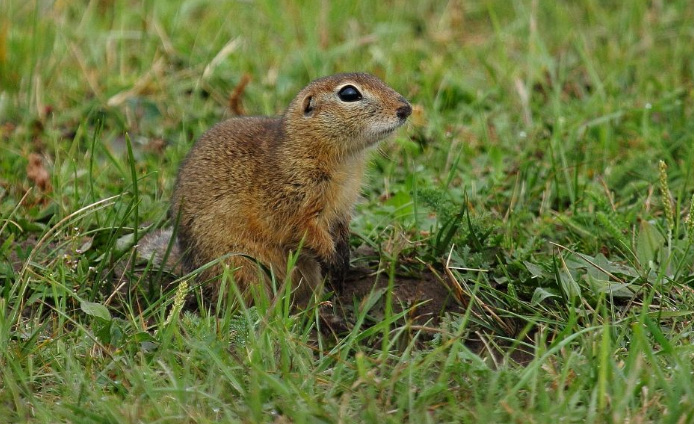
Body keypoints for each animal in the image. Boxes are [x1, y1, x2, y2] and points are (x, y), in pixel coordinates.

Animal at [141, 73, 414, 304]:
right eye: (349, 94)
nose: (406, 109)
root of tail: (190, 268)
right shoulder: (292, 202)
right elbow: (304, 232)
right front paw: (332, 261)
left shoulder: (343, 207)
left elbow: (341, 229)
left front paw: (344, 262)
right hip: (241, 266)